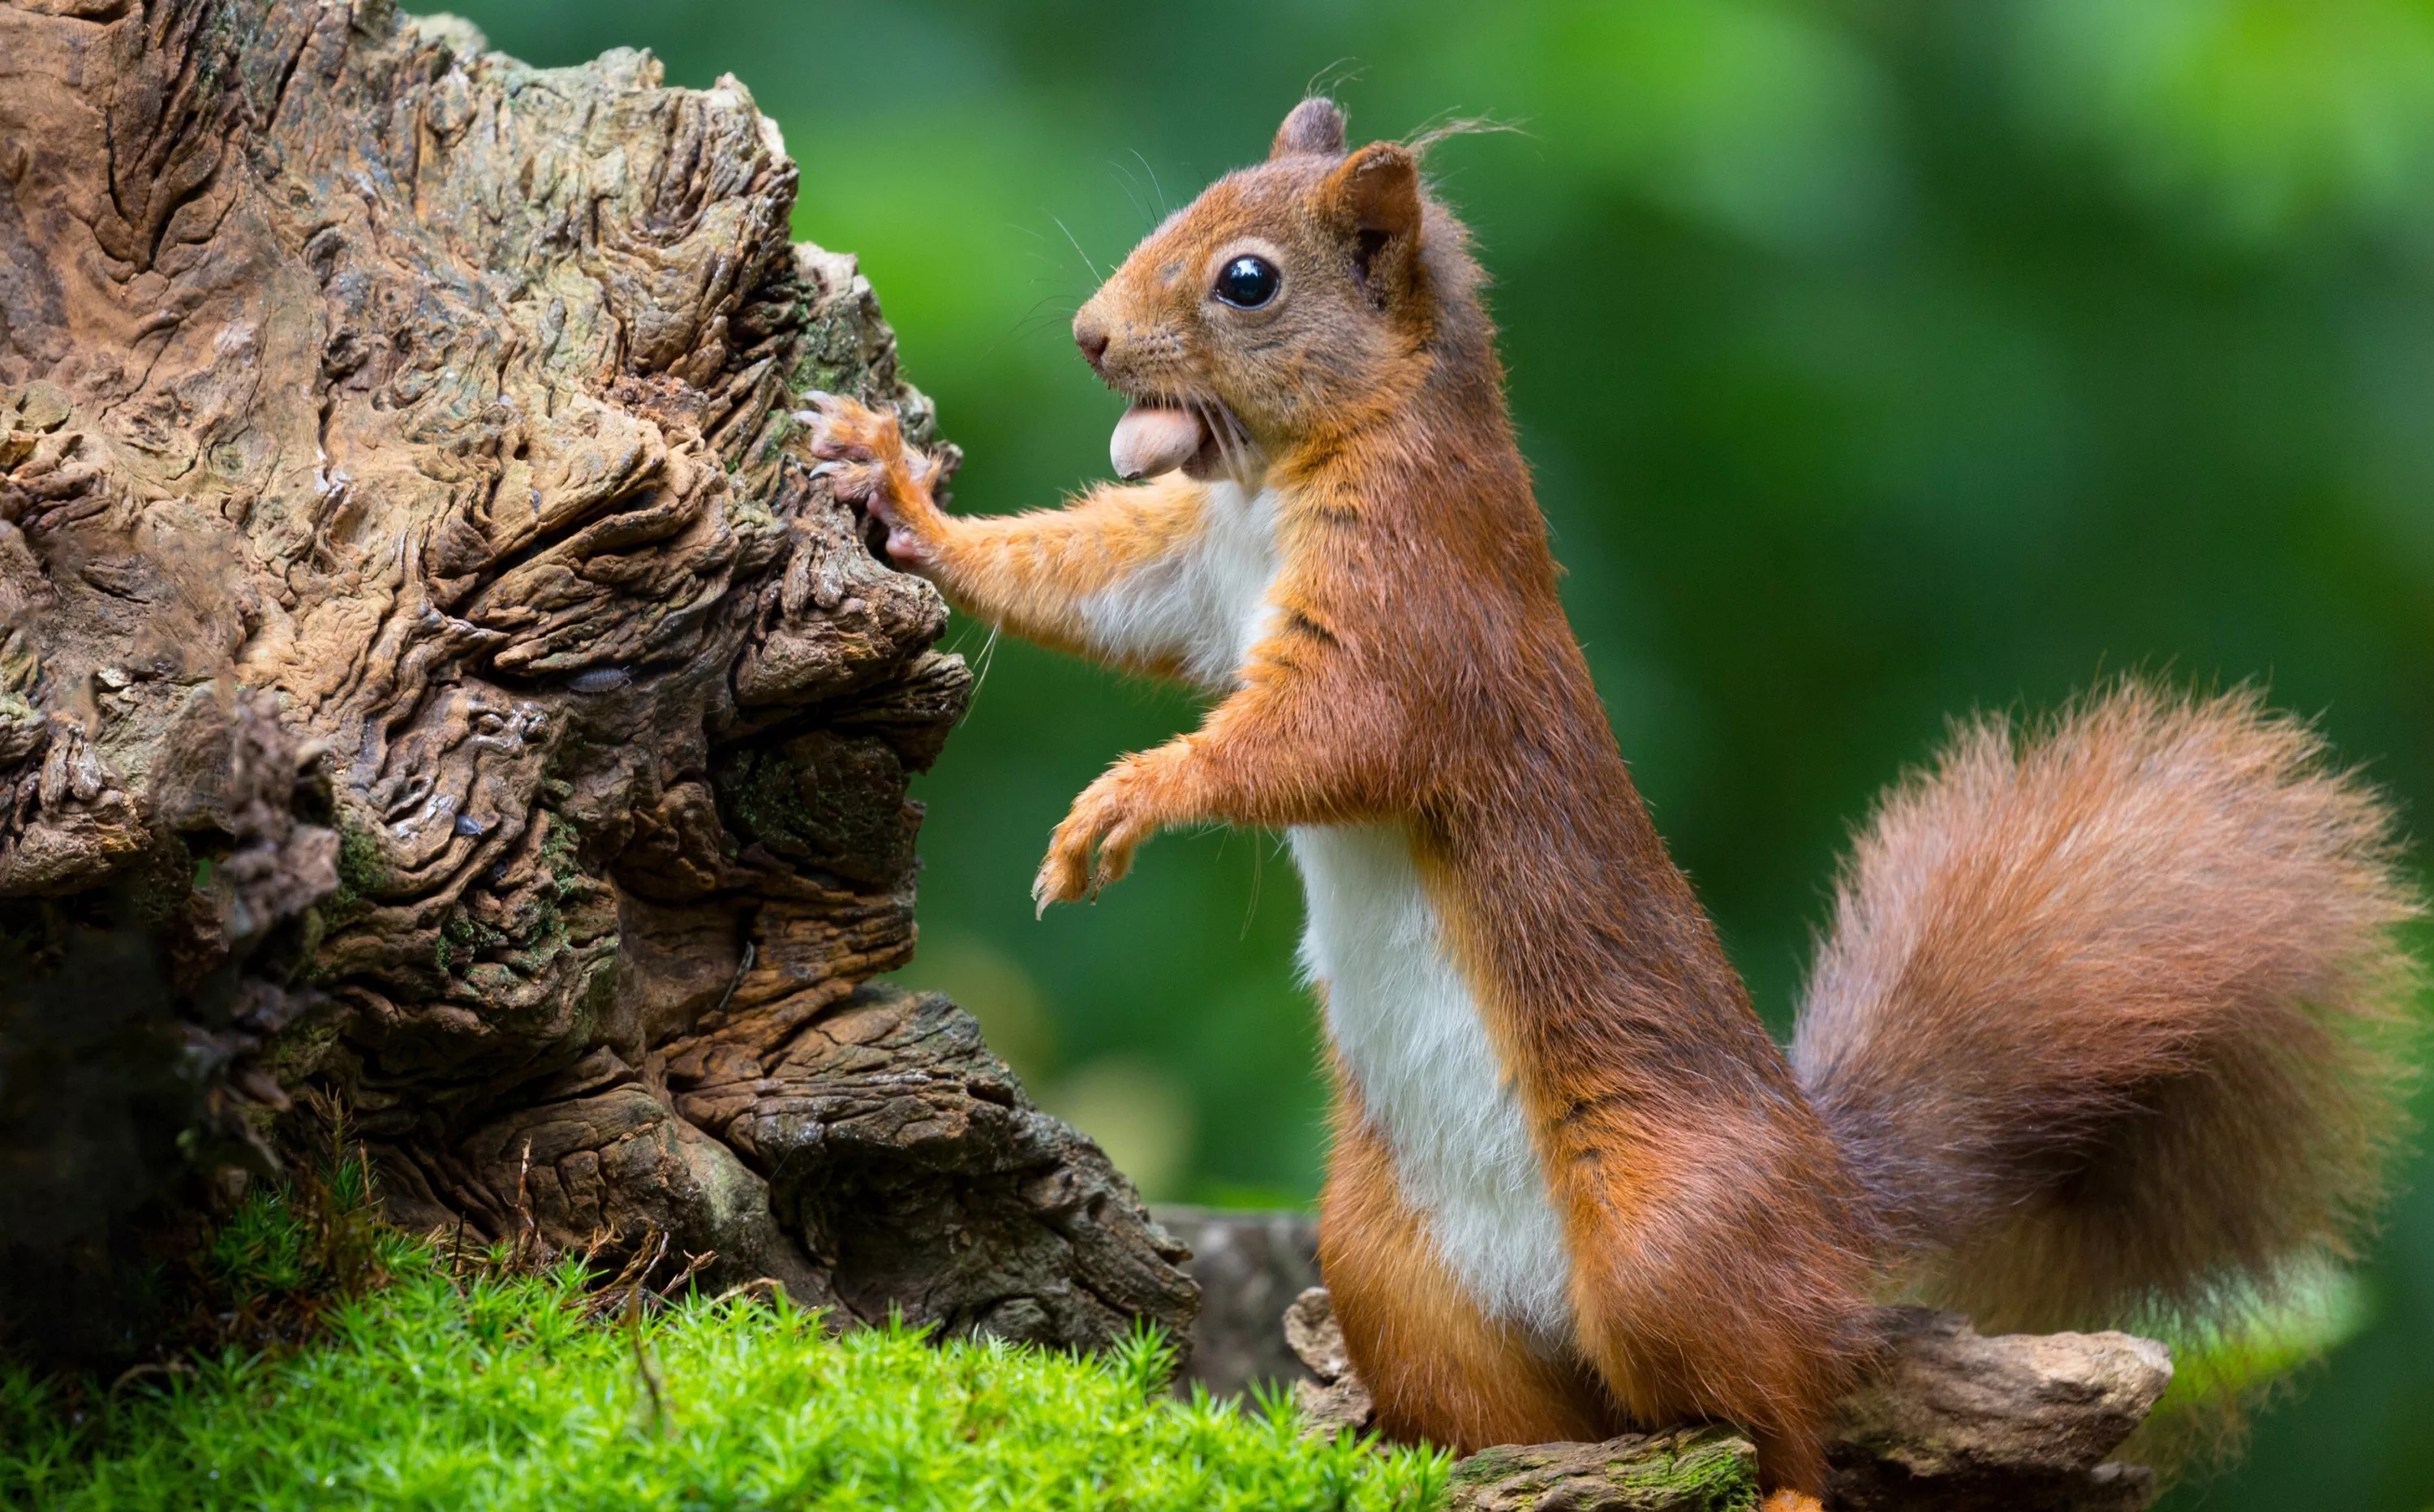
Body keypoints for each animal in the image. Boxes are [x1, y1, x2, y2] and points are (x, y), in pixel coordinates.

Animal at [804, 97, 2420, 1507]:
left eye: (1246, 278)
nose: (1089, 333)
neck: (1295, 473)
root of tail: (1835, 1202)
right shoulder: (1191, 571)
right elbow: (1083, 583)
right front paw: (898, 487)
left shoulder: (1416, 620)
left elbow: (1318, 740)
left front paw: (1124, 802)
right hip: (1390, 1267)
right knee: (1547, 1414)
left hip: (1667, 1233)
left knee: (1788, 1401)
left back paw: (1782, 1470)